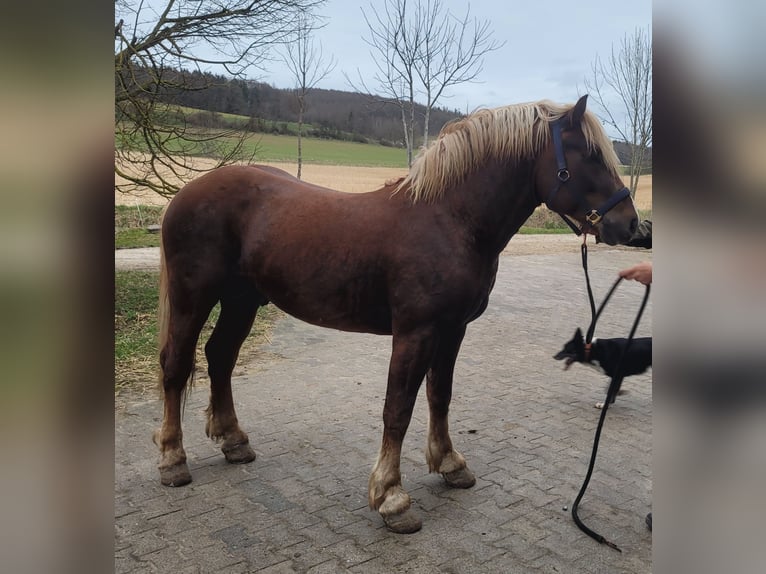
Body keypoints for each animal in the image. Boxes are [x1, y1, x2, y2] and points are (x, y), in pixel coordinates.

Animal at [154, 95, 638, 533]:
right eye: (590, 155)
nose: (633, 225)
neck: (451, 219)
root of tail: (185, 194)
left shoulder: (453, 330)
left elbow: (439, 396)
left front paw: (449, 463)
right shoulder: (415, 333)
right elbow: (398, 408)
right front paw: (391, 498)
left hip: (241, 300)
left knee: (220, 357)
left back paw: (233, 441)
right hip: (193, 297)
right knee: (177, 365)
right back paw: (173, 460)